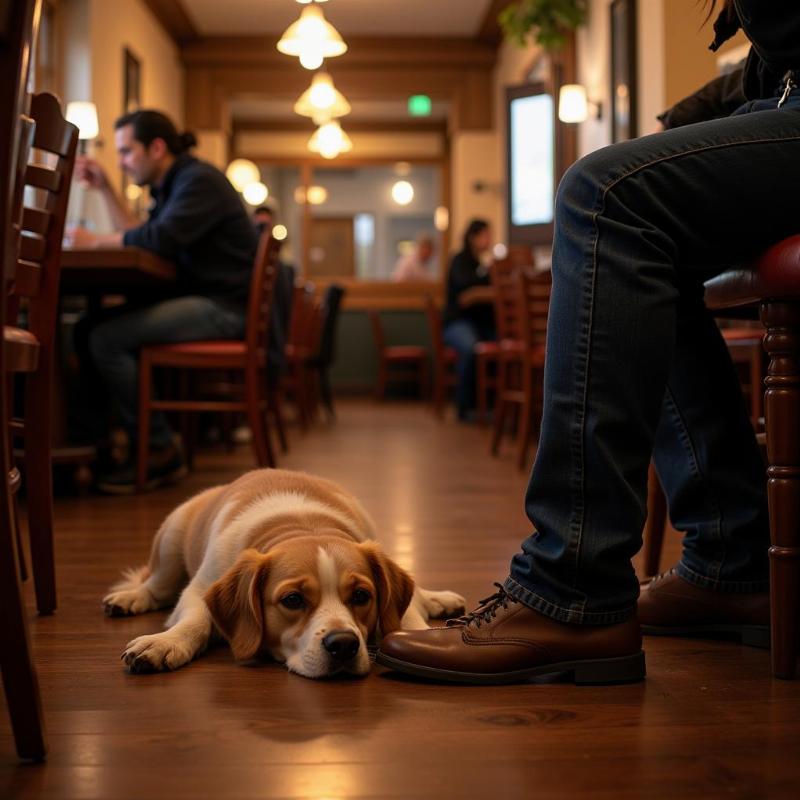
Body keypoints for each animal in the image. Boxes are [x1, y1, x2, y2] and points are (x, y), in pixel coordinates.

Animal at [103, 466, 466, 680]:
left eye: (362, 596)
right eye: (293, 600)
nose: (344, 645)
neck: (303, 525)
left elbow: (408, 618)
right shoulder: (199, 588)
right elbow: (195, 620)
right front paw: (167, 642)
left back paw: (437, 599)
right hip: (171, 538)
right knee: (156, 586)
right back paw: (129, 597)